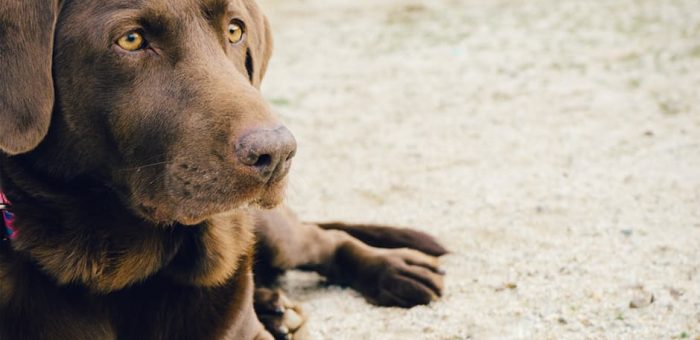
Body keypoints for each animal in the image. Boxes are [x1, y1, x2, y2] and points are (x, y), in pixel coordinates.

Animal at [0, 1, 446, 338]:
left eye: (235, 31)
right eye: (131, 39)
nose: (277, 153)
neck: (119, 273)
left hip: (273, 231)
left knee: (324, 239)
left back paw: (394, 269)